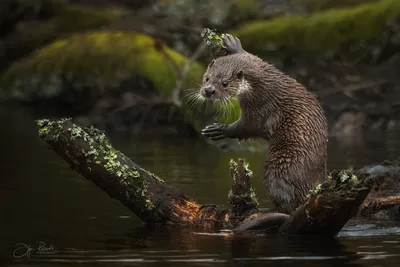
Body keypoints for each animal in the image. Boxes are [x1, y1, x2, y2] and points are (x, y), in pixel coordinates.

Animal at [202, 35, 326, 216]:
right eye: (207, 78)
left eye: (225, 83)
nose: (208, 90)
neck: (259, 83)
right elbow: (253, 56)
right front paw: (233, 44)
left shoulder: (261, 107)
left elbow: (247, 127)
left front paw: (219, 129)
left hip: (280, 167)